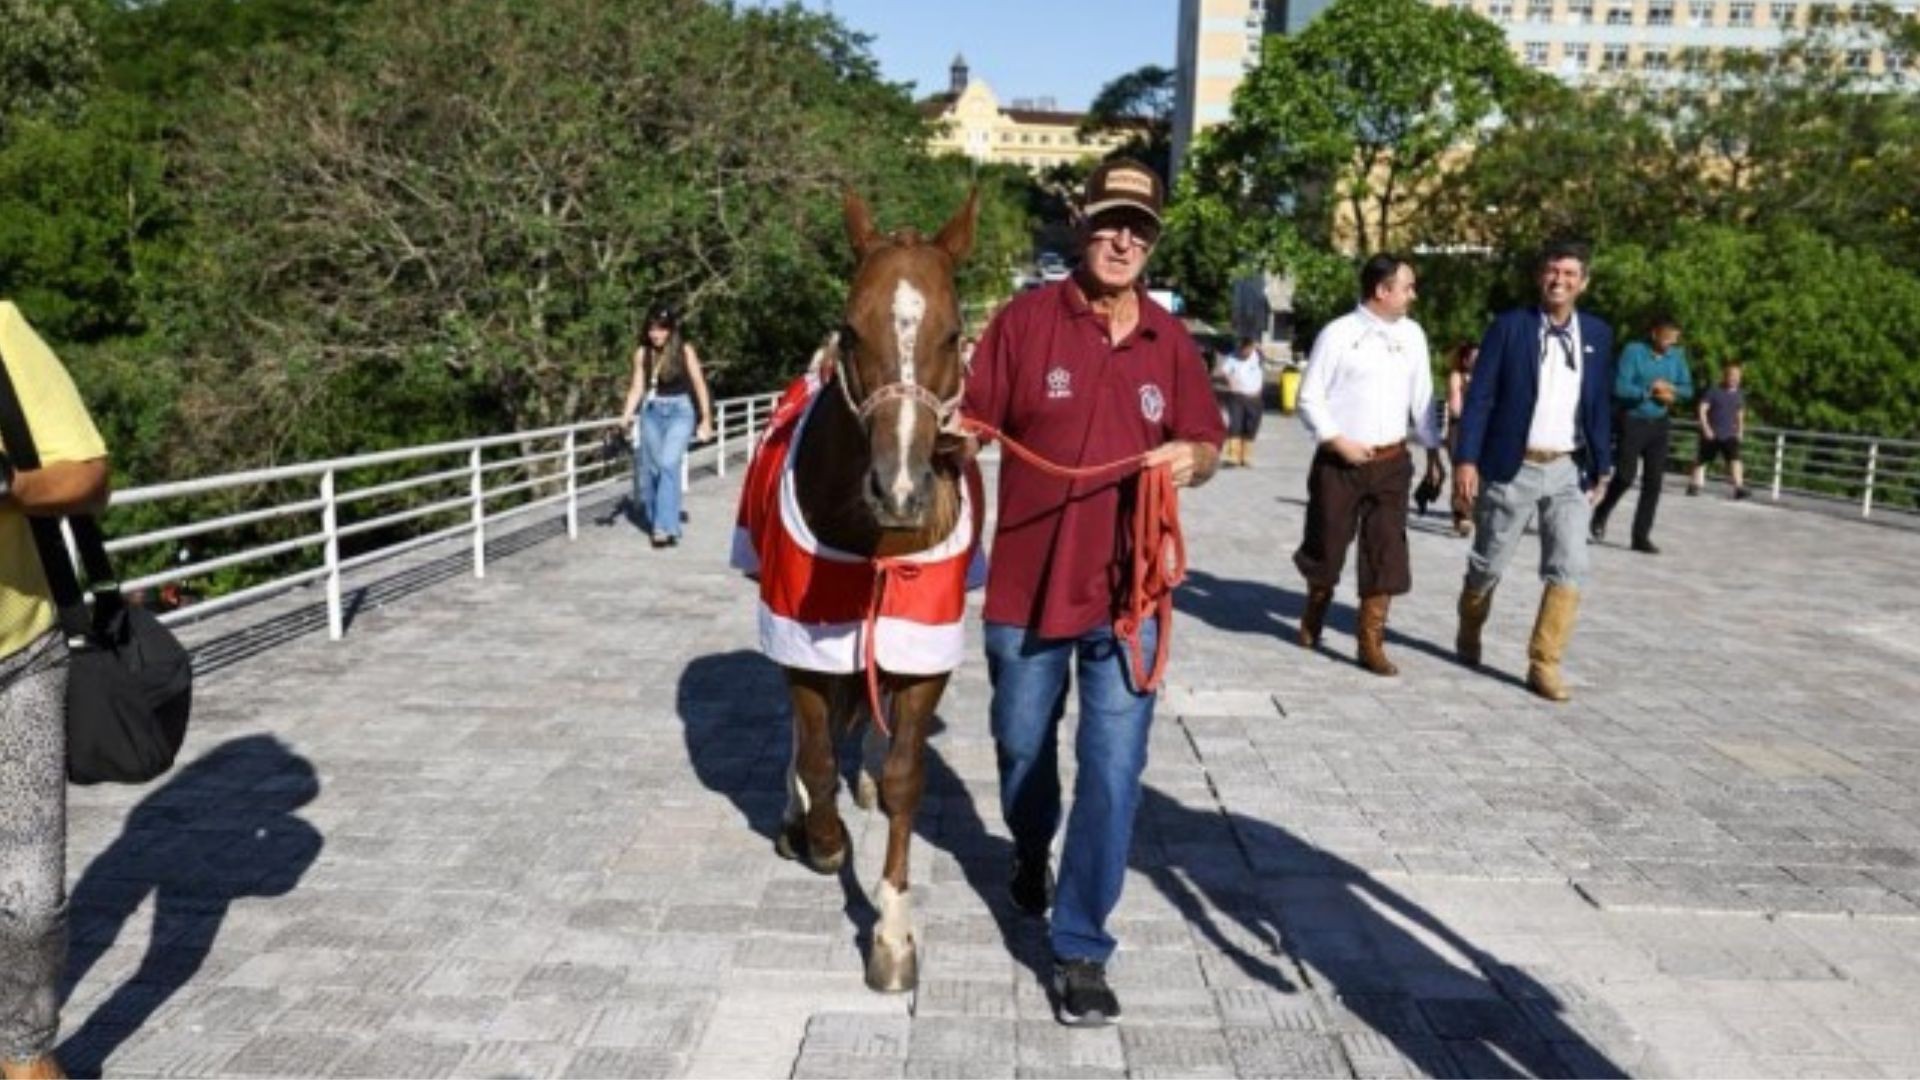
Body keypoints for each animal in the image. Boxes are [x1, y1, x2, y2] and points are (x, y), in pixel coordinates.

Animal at [731, 188, 980, 993]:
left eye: (953, 333)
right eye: (850, 328)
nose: (900, 489)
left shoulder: (924, 634)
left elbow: (905, 776)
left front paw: (893, 933)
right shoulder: (802, 631)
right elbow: (814, 754)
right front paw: (821, 834)